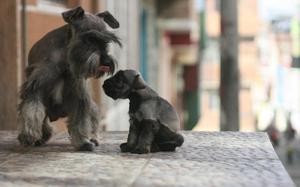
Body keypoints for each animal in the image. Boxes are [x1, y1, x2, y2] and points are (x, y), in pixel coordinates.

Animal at [17, 6, 120, 151]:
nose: (106, 62)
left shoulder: (79, 94)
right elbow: (32, 110)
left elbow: (80, 120)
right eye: (89, 39)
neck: (66, 57)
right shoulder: (35, 86)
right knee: (44, 121)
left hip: (90, 106)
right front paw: (28, 134)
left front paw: (83, 142)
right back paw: (40, 137)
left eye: (106, 41)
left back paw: (93, 138)